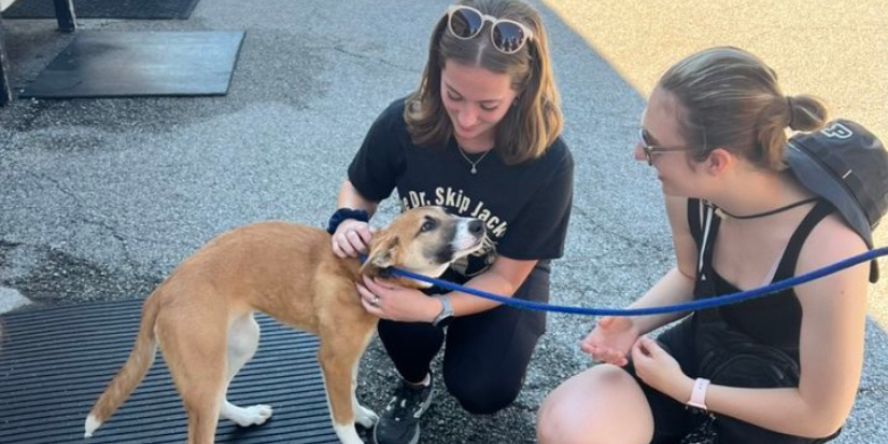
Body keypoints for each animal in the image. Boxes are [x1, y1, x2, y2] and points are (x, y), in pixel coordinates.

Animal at [83, 207, 486, 444]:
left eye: (449, 212)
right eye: (428, 225)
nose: (480, 224)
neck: (359, 268)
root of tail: (162, 290)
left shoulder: (348, 356)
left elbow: (350, 390)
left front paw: (360, 413)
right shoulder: (333, 359)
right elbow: (340, 418)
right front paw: (352, 425)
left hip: (240, 343)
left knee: (220, 397)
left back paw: (247, 417)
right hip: (204, 367)